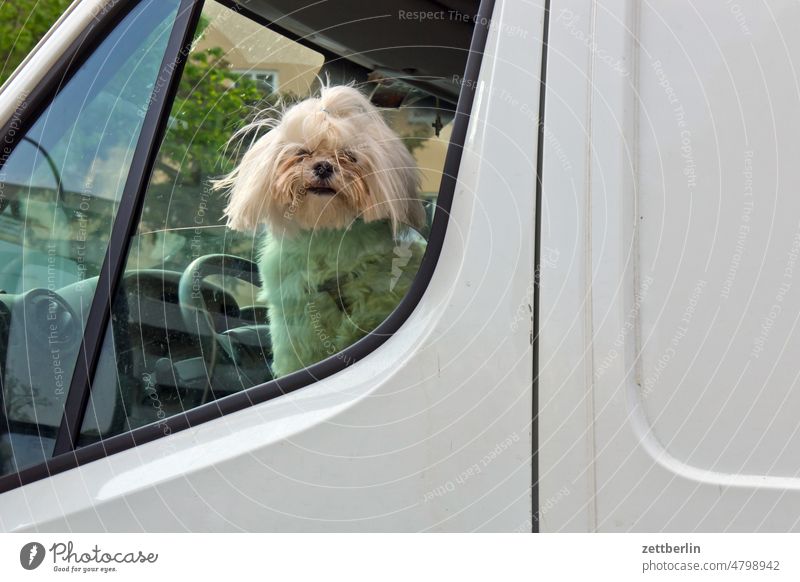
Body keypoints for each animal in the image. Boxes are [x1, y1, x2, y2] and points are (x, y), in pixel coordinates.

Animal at [211, 85, 424, 378]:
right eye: (302, 153)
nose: (323, 166)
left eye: (349, 156)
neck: (327, 232)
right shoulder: (296, 317)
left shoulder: (380, 291)